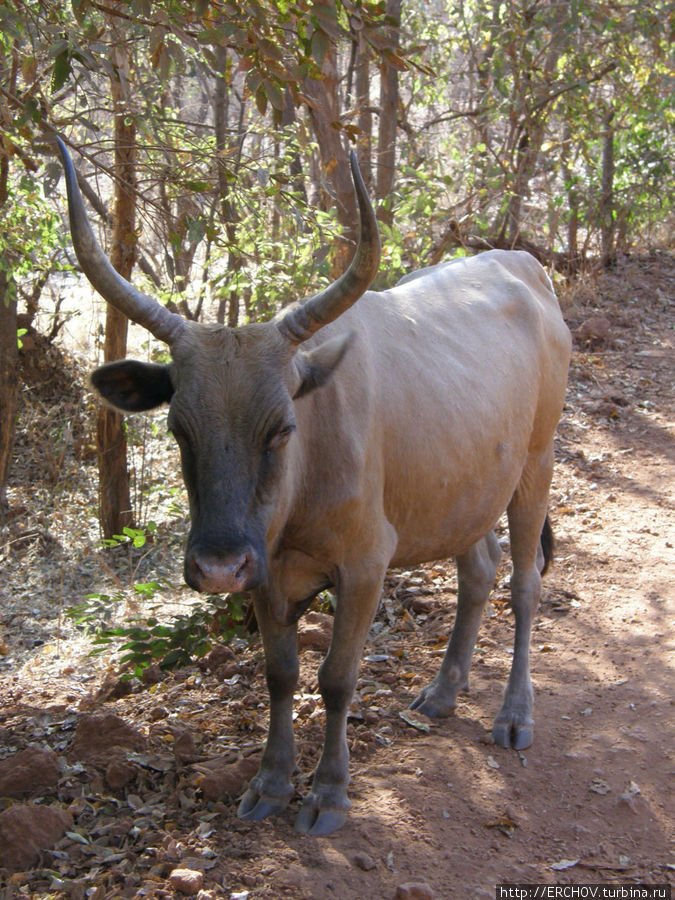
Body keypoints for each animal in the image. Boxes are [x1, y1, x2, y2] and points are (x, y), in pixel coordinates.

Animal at [58, 137, 572, 832]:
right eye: (178, 428)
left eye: (280, 428)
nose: (216, 566)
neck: (300, 490)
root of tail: (524, 264)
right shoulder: (265, 570)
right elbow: (280, 673)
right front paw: (271, 782)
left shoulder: (366, 564)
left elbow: (336, 678)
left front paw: (329, 790)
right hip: (464, 491)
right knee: (479, 570)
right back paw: (442, 691)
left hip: (536, 465)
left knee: (523, 585)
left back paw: (515, 714)